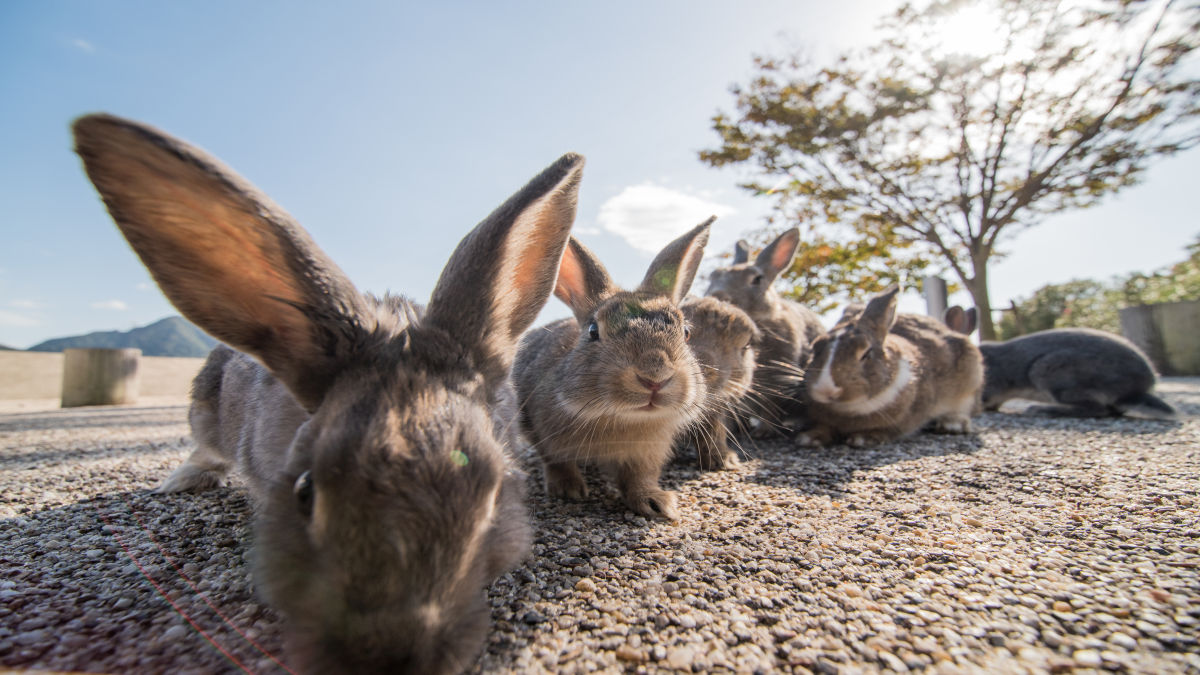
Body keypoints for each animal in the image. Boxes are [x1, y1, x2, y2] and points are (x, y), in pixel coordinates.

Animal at [705, 228, 830, 432]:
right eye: (713, 276)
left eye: (757, 279)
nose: (717, 296)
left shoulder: (777, 380)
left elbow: (770, 407)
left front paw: (764, 432)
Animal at [796, 284, 984, 446]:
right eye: (815, 347)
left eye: (866, 353)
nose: (826, 390)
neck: (847, 408)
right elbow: (824, 427)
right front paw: (810, 438)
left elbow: (889, 430)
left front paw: (863, 439)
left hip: (970, 387)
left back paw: (952, 424)